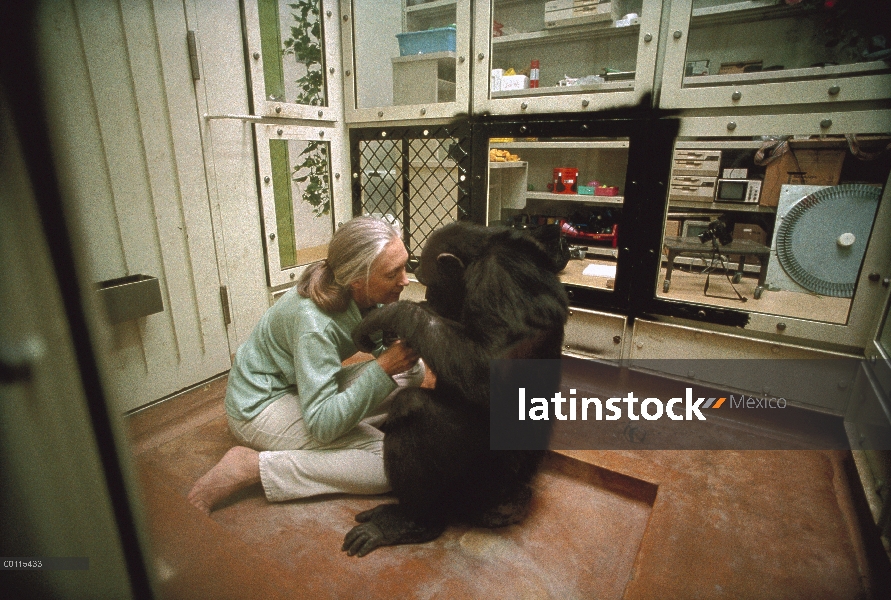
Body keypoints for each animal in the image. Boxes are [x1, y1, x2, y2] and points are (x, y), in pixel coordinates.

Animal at [344, 220, 572, 556]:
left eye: (428, 279)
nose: (426, 293)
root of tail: (518, 491)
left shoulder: (501, 280)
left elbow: (487, 365)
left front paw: (392, 313)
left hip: (486, 481)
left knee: (413, 408)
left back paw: (411, 521)